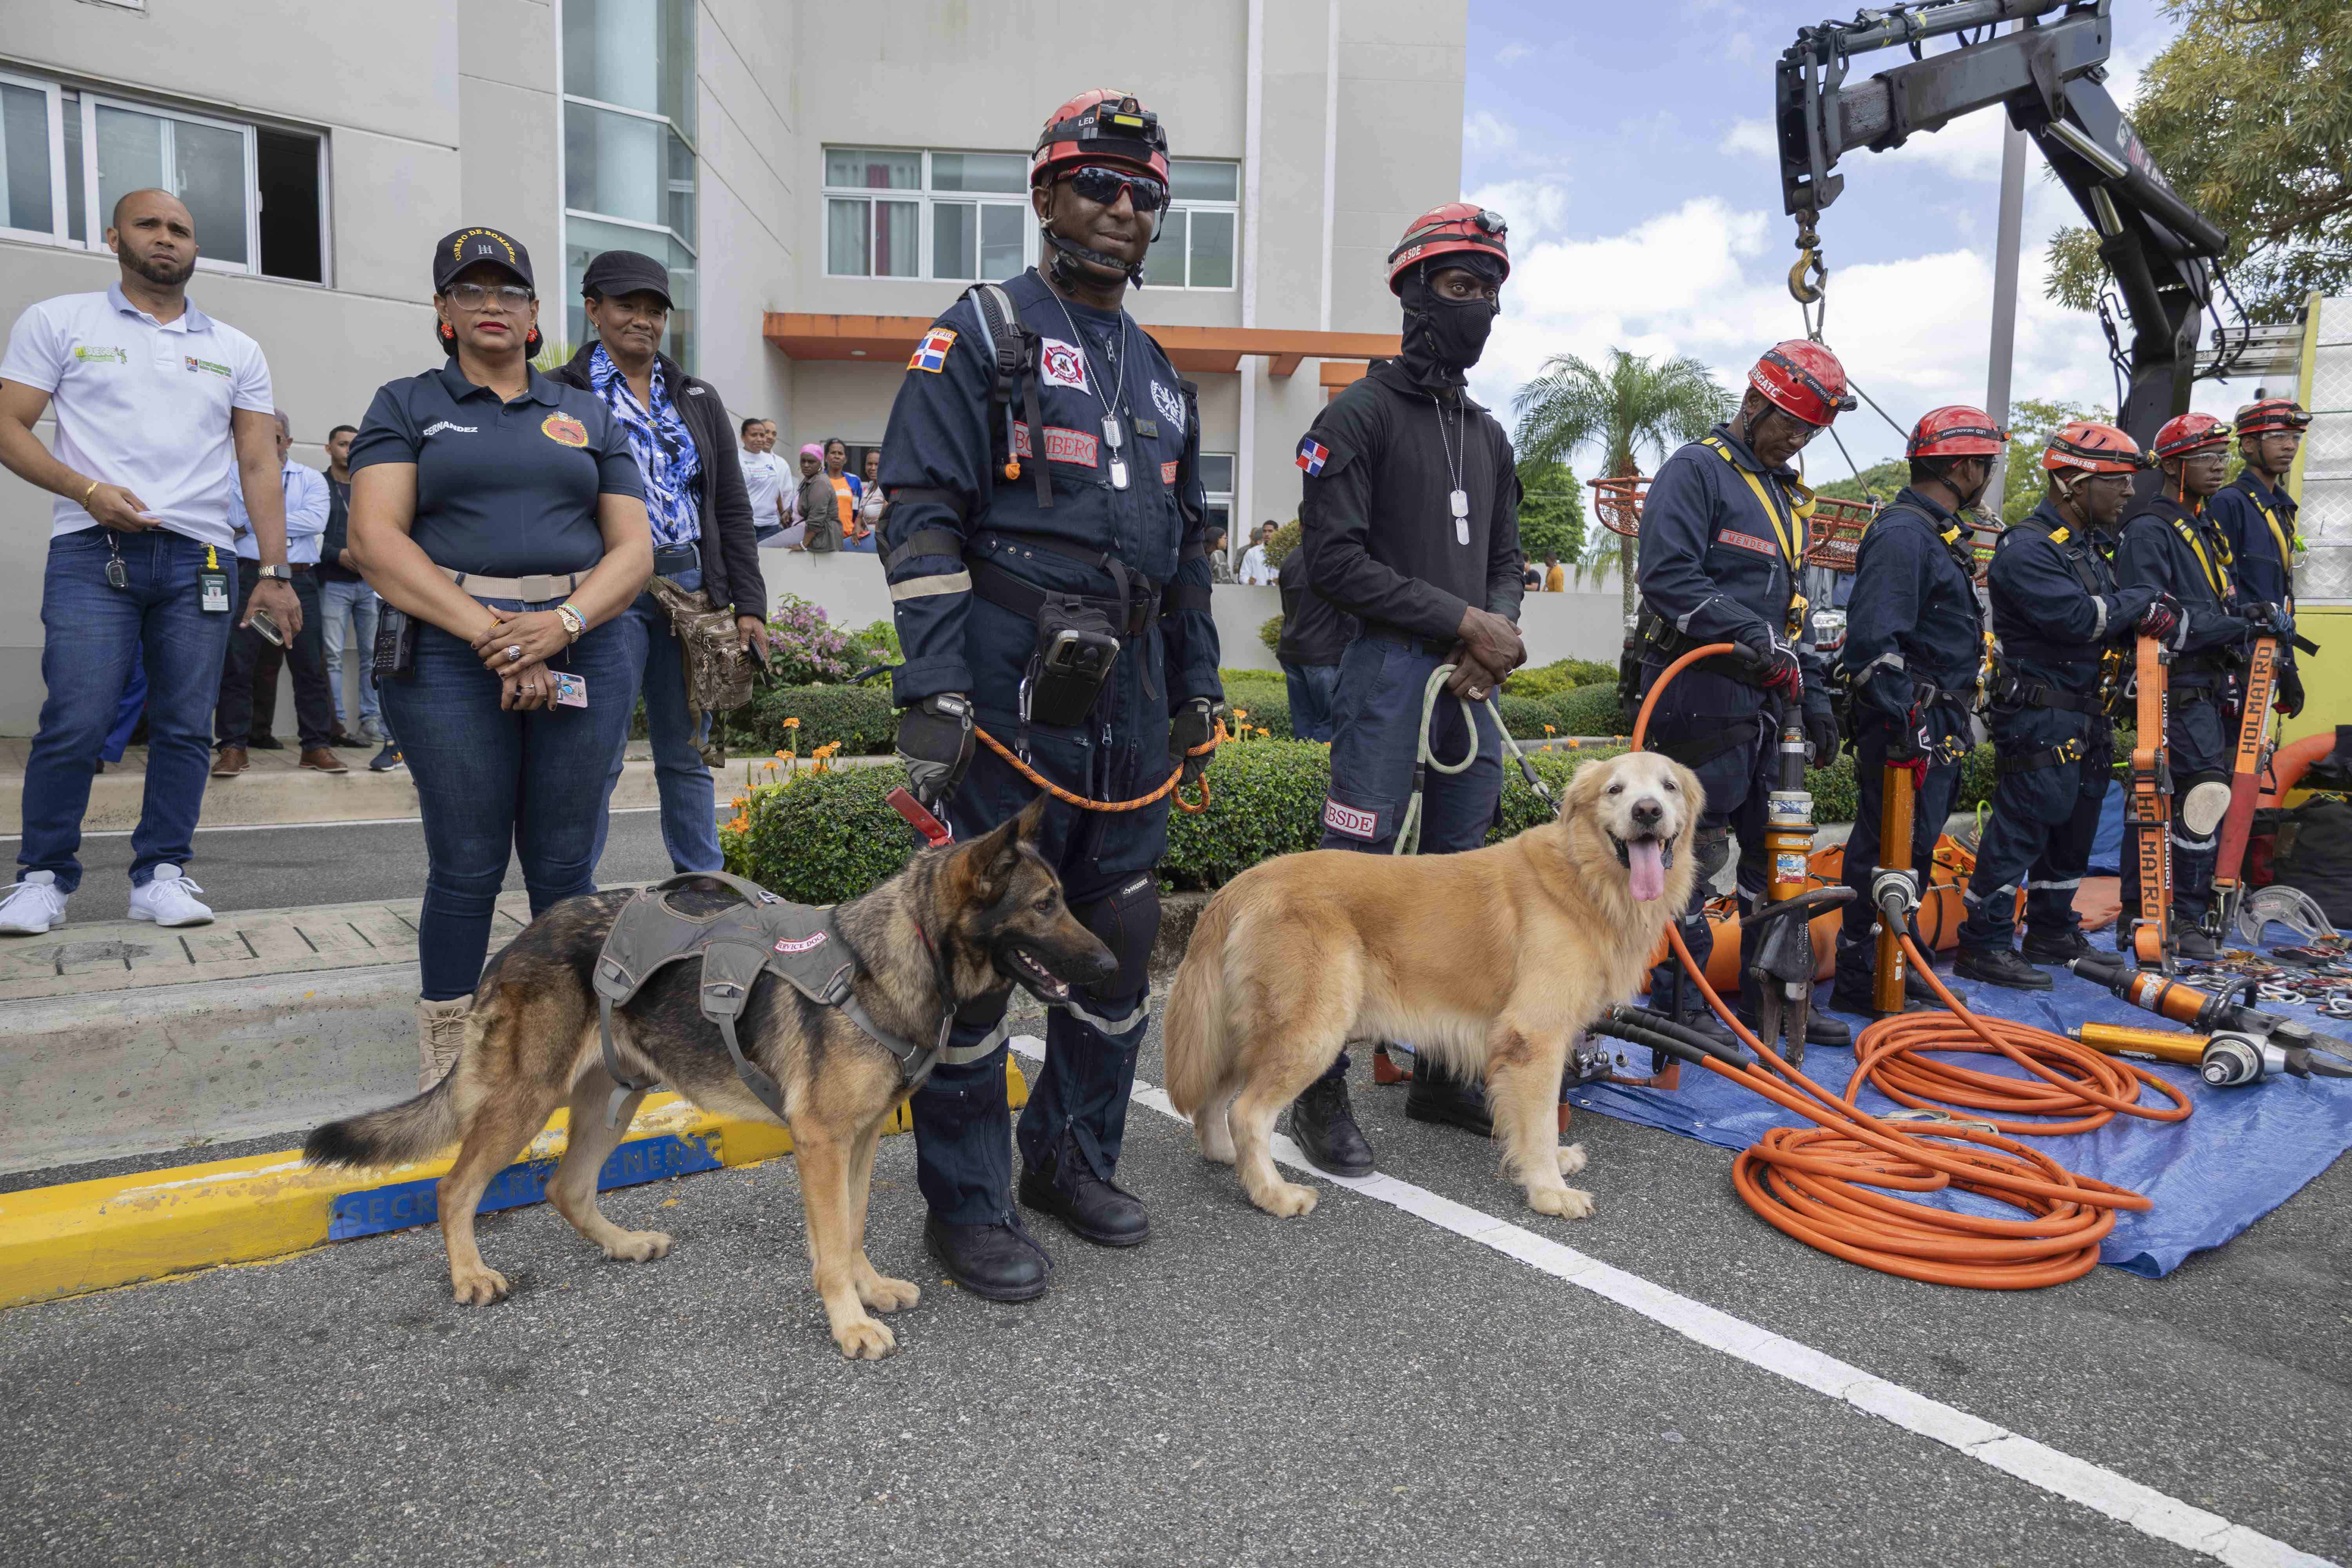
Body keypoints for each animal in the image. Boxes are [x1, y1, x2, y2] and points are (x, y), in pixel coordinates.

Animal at [306, 799, 1110, 1363]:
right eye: (1045, 906)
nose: (1110, 964)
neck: (895, 954)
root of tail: (521, 938)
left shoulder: (857, 1143)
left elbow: (850, 1230)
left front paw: (869, 1289)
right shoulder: (822, 1145)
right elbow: (830, 1246)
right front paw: (848, 1322)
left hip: (614, 1102)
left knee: (566, 1186)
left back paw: (623, 1244)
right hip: (526, 1101)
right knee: (454, 1186)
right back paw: (471, 1275)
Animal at [1162, 752, 1703, 1222]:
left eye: (1669, 787)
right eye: (1616, 789)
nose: (1648, 811)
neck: (1584, 875)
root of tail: (1241, 884)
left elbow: (1535, 1121)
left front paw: (1546, 1164)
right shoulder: (1535, 1038)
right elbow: (1543, 1119)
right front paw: (1550, 1191)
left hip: (1247, 1028)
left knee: (1215, 1097)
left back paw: (1225, 1157)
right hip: (1312, 1028)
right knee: (1248, 1113)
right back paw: (1272, 1193)